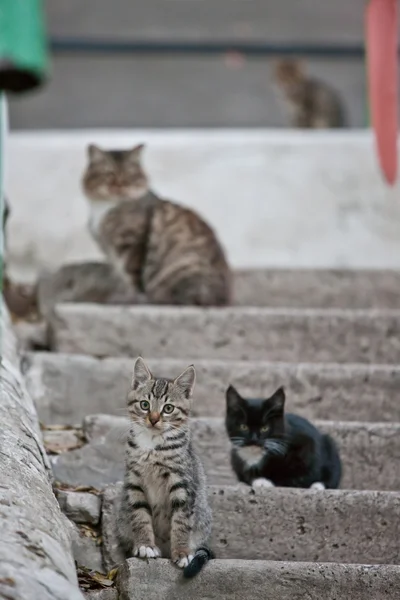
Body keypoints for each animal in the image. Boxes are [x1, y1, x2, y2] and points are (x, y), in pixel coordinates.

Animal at [81, 144, 231, 304]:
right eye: (108, 174)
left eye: (130, 176)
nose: (120, 186)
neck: (103, 209)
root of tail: (223, 300)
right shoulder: (110, 252)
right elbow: (121, 277)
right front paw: (120, 295)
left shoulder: (133, 243)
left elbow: (132, 276)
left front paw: (131, 298)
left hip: (184, 265)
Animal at [116, 356, 212, 576]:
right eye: (144, 405)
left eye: (168, 408)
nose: (153, 419)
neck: (152, 444)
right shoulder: (134, 482)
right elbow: (140, 516)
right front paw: (145, 545)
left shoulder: (183, 484)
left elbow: (181, 522)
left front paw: (182, 553)